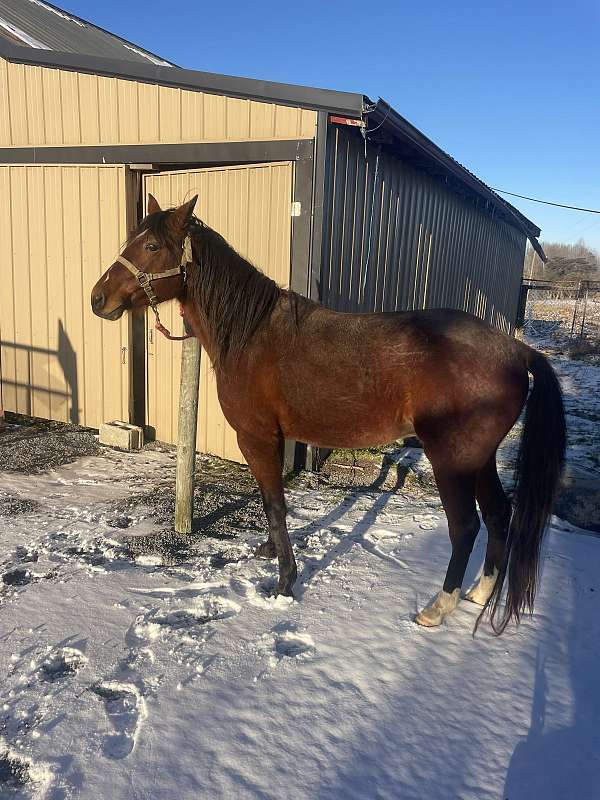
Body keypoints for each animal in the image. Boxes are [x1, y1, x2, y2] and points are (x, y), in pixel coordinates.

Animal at [91, 194, 564, 632]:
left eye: (152, 245)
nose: (98, 299)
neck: (251, 333)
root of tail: (514, 349)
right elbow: (273, 499)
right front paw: (270, 552)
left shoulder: (256, 435)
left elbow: (274, 503)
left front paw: (285, 580)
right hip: (479, 458)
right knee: (499, 514)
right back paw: (480, 592)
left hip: (452, 460)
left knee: (465, 526)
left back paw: (438, 607)